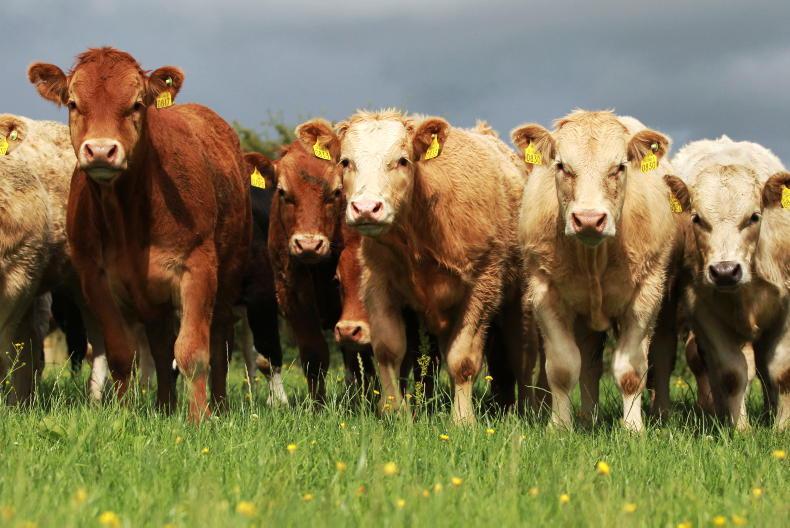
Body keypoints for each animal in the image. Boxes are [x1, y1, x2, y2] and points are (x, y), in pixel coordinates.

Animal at [28, 47, 251, 421]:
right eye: (73, 103)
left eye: (136, 104)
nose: (101, 150)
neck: (128, 221)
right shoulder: (96, 278)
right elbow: (122, 353)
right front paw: (123, 414)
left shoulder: (198, 269)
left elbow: (193, 351)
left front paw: (199, 419)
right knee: (160, 349)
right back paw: (164, 406)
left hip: (228, 276)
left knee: (220, 342)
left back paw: (219, 406)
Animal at [334, 110, 527, 424]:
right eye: (345, 161)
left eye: (402, 160)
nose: (366, 208)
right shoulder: (378, 282)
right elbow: (388, 350)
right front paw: (395, 413)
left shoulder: (482, 288)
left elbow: (463, 360)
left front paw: (463, 420)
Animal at [511, 110, 678, 432]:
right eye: (562, 166)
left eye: (620, 167)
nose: (589, 219)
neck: (593, 258)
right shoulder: (545, 290)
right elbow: (563, 368)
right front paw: (559, 427)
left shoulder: (646, 295)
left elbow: (631, 370)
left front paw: (633, 428)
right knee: (588, 362)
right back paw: (587, 418)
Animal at [666, 136, 790, 430]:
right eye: (697, 218)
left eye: (754, 217)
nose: (725, 271)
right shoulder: (703, 312)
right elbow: (732, 374)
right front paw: (740, 428)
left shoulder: (785, 309)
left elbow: (781, 373)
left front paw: (782, 427)